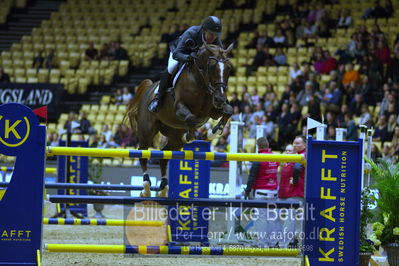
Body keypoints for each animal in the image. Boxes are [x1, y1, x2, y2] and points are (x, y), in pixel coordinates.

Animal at [125, 42, 234, 196]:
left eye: (229, 68)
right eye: (212, 66)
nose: (220, 98)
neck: (200, 81)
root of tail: (149, 88)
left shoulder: (213, 111)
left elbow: (228, 111)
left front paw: (213, 133)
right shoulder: (179, 107)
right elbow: (191, 118)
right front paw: (192, 136)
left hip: (174, 137)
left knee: (164, 155)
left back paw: (164, 188)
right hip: (146, 132)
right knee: (142, 154)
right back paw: (146, 187)